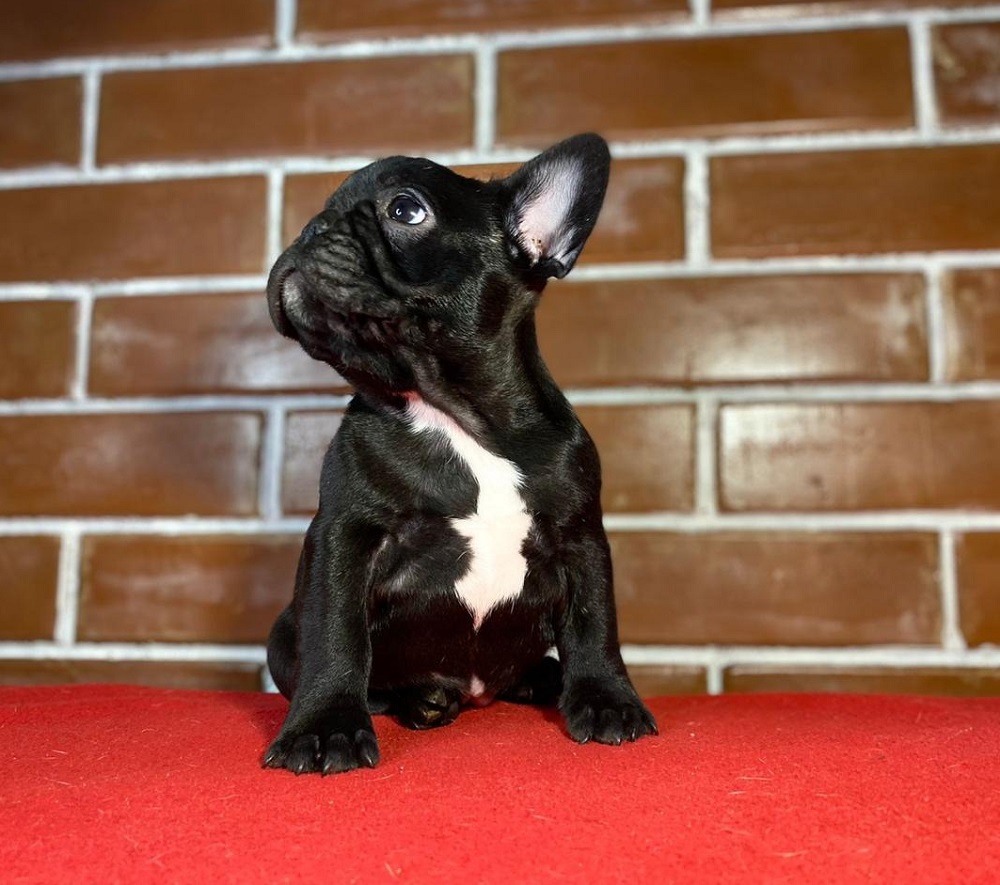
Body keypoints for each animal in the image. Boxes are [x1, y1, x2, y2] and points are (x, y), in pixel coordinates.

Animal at [263, 133, 657, 775]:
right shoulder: (345, 535)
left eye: (405, 209)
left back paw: (544, 680)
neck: (454, 415)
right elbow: (337, 635)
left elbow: (595, 624)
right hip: (281, 633)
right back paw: (421, 698)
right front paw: (324, 728)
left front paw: (606, 700)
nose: (310, 229)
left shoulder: (581, 539)